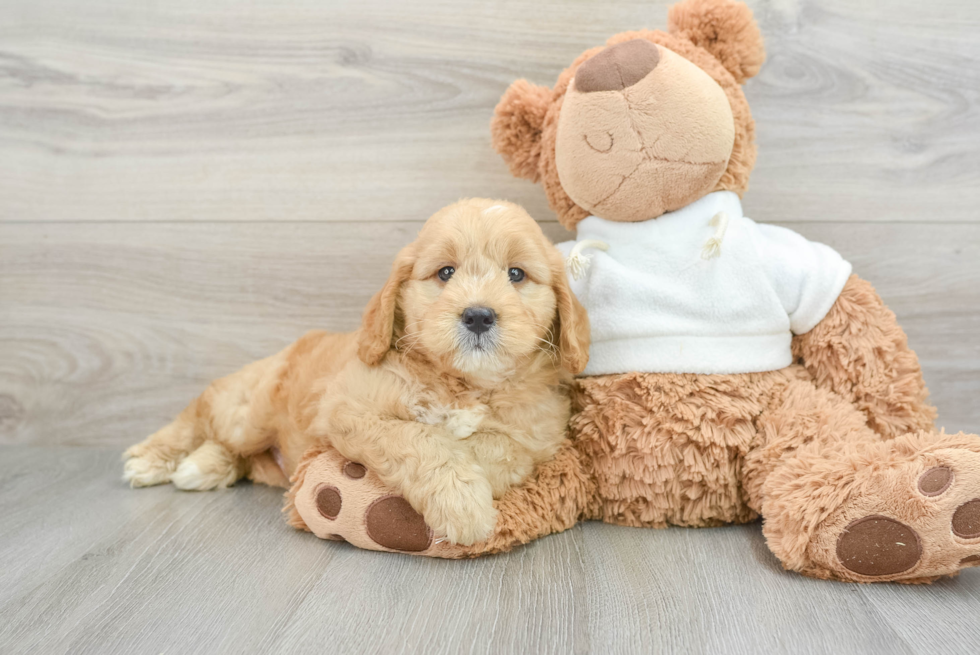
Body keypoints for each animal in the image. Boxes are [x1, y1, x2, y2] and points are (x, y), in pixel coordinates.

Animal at [126, 197, 592, 544]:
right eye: (445, 272)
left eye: (516, 274)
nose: (478, 315)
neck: (464, 383)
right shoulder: (350, 407)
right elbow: (419, 438)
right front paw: (462, 505)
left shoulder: (538, 437)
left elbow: (495, 446)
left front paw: (469, 482)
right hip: (246, 413)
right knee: (201, 414)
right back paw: (152, 459)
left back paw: (203, 466)